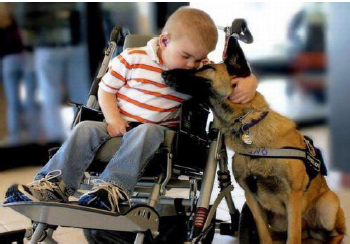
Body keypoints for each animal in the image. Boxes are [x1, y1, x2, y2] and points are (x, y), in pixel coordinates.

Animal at [163, 36, 346, 244]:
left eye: (206, 68)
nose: (164, 72)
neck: (246, 123)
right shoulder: (251, 197)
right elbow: (263, 232)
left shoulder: (293, 197)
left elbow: (293, 237)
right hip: (278, 221)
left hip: (328, 207)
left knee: (336, 233)